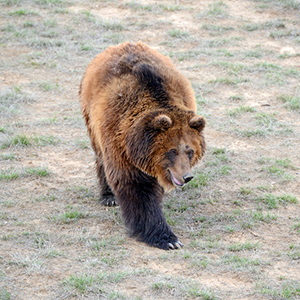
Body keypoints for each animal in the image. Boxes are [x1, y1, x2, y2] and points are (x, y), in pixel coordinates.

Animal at [79, 41, 205, 250]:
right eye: (172, 151)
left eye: (190, 150)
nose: (187, 176)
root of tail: (120, 45)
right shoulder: (118, 140)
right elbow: (136, 187)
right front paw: (167, 238)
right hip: (91, 114)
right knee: (100, 156)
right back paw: (108, 196)